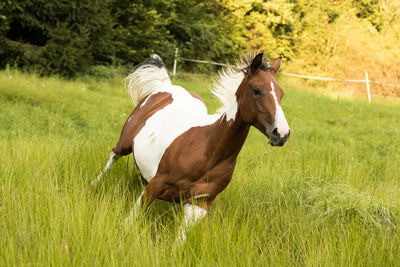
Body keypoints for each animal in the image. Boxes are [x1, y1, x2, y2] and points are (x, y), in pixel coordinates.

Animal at [92, 52, 290, 243]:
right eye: (256, 90)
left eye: (281, 94)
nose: (282, 134)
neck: (206, 151)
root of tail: (166, 87)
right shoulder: (156, 185)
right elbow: (131, 219)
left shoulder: (199, 205)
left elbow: (179, 242)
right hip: (125, 143)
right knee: (113, 156)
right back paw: (94, 183)